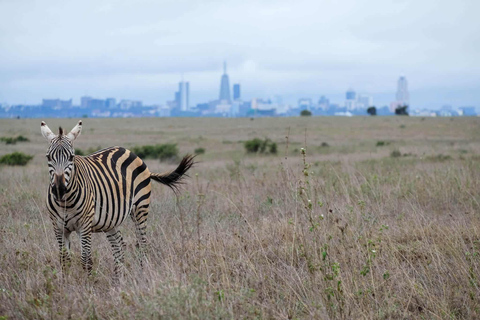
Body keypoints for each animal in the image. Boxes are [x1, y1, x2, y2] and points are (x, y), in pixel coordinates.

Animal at [39, 121, 193, 278]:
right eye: (48, 157)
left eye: (71, 157)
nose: (59, 190)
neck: (66, 203)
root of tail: (128, 150)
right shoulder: (58, 227)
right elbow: (64, 260)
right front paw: (66, 282)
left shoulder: (85, 226)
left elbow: (86, 260)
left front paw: (88, 284)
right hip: (111, 220)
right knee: (119, 245)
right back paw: (118, 279)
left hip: (140, 208)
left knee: (142, 243)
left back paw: (142, 274)